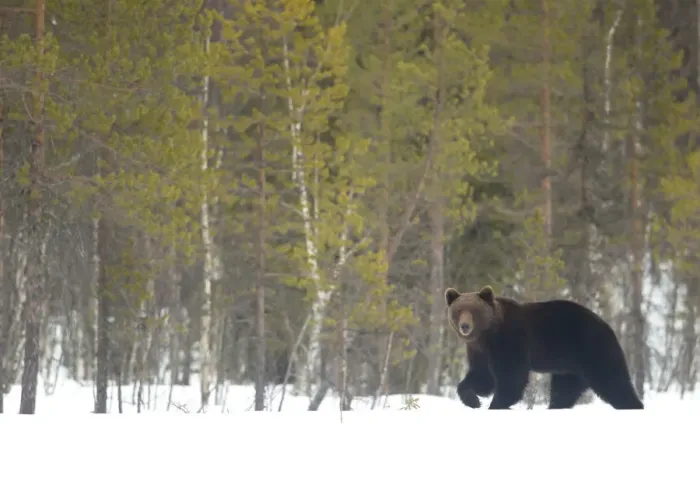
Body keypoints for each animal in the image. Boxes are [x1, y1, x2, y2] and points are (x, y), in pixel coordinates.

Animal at [444, 285, 644, 410]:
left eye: (474, 311)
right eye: (459, 311)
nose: (465, 326)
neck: (486, 335)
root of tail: (607, 325)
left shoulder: (509, 340)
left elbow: (511, 377)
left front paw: (497, 404)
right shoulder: (479, 351)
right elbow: (482, 377)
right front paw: (473, 400)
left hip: (591, 348)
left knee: (613, 381)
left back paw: (633, 405)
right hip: (570, 366)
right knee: (563, 391)